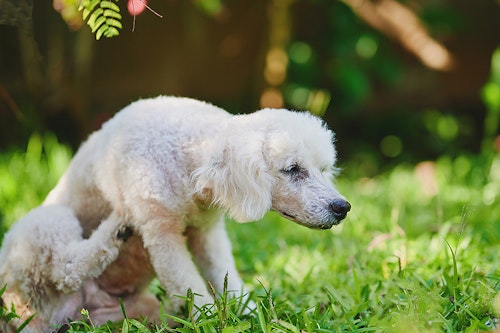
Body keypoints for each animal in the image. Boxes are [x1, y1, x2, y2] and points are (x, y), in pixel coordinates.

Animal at [0, 95, 350, 330]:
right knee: (64, 268)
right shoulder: (162, 234)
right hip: (43, 230)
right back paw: (114, 230)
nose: (343, 208)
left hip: (129, 309)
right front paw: (213, 322)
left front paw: (254, 316)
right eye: (292, 169)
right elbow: (190, 288)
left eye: (323, 169)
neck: (188, 153)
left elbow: (228, 281)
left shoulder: (207, 235)